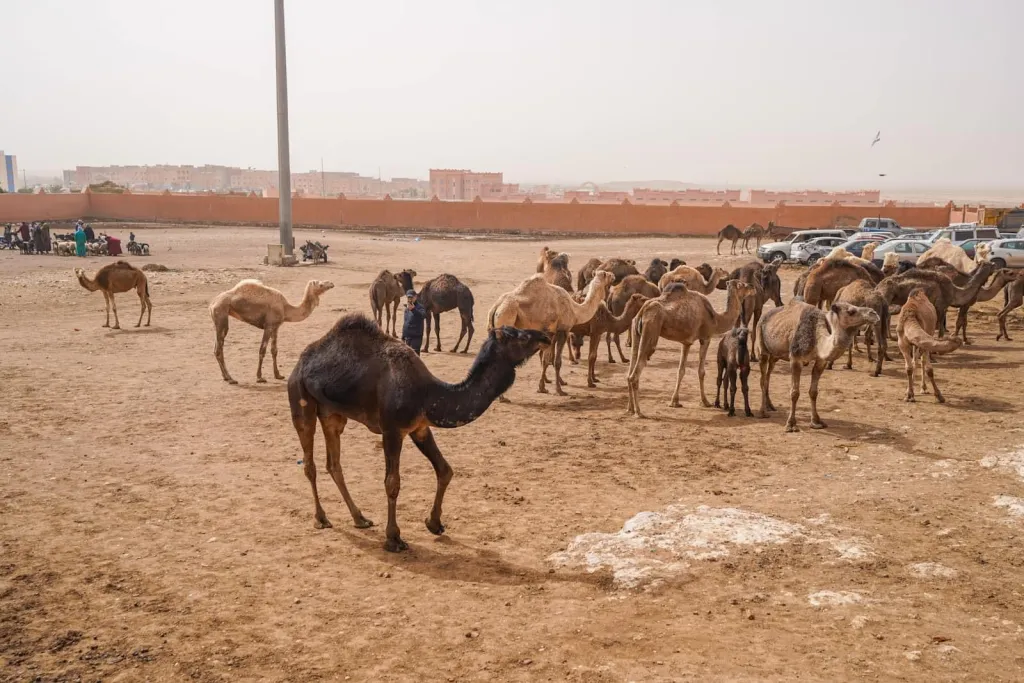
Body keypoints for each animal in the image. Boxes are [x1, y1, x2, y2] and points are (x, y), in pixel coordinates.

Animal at [288, 313, 547, 552]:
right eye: (522, 336)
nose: (545, 336)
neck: (428, 393)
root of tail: (300, 363)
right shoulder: (392, 431)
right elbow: (392, 482)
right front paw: (394, 538)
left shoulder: (419, 428)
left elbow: (445, 470)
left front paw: (434, 523)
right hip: (301, 400)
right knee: (310, 463)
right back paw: (321, 518)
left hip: (332, 414)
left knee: (334, 464)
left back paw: (359, 518)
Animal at [625, 279, 756, 417]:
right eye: (741, 284)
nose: (752, 286)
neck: (716, 318)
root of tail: (642, 312)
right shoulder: (706, 337)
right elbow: (701, 371)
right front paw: (705, 401)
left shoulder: (686, 342)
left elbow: (681, 371)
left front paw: (675, 402)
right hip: (650, 329)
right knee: (635, 375)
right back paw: (639, 412)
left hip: (636, 331)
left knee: (629, 372)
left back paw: (630, 409)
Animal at [757, 300, 879, 432]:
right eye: (851, 311)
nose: (874, 313)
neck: (816, 338)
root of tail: (764, 317)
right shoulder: (795, 358)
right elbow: (795, 393)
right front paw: (791, 424)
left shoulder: (821, 361)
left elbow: (814, 392)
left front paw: (816, 422)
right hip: (762, 345)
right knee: (763, 378)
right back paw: (762, 412)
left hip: (775, 354)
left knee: (768, 374)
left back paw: (770, 406)